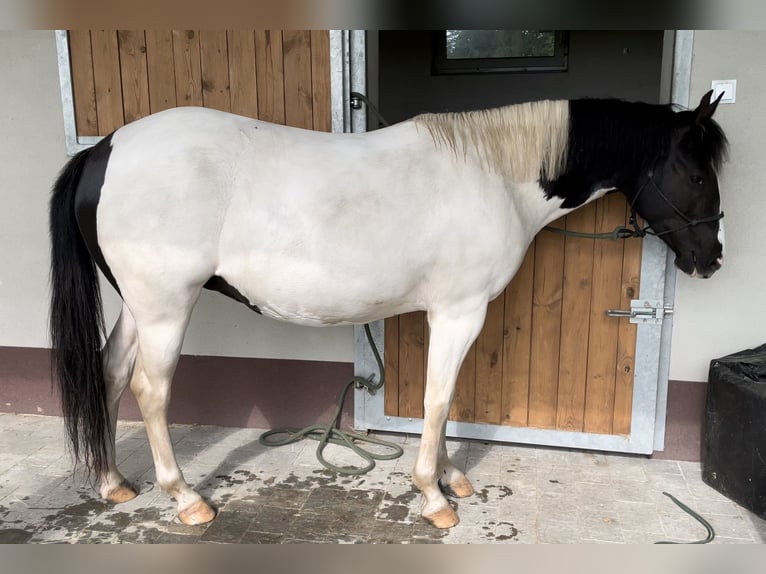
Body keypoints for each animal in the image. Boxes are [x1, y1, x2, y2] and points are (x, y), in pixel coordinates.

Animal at [51, 89, 728, 532]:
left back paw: (114, 483)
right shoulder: (458, 312)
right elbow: (437, 398)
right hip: (166, 308)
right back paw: (186, 499)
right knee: (151, 390)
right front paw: (435, 498)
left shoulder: (452, 314)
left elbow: (444, 398)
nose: (712, 259)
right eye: (697, 174)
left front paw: (453, 477)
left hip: (139, 308)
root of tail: (103, 150)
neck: (492, 175)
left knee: (110, 374)